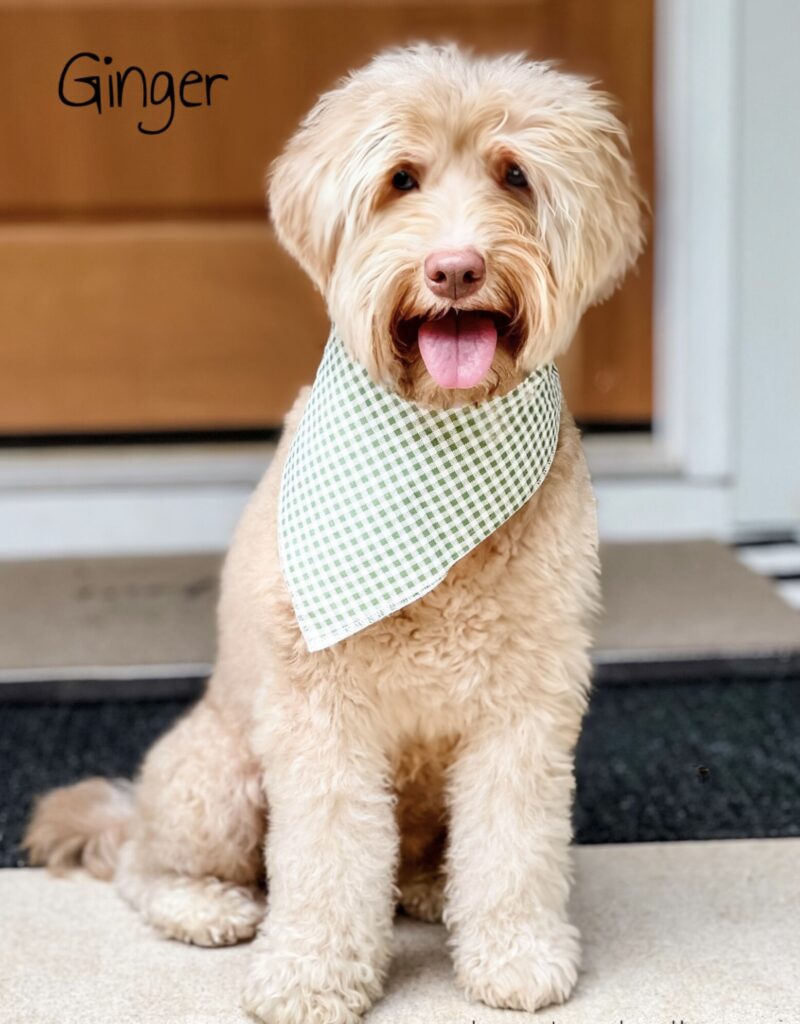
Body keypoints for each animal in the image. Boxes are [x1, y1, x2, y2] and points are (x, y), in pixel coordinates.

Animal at [24, 41, 643, 1024]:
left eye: (515, 175)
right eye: (401, 180)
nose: (456, 269)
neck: (439, 440)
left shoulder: (526, 705)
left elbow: (514, 845)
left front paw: (515, 954)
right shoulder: (321, 713)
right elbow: (324, 856)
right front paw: (312, 973)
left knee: (425, 858)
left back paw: (427, 888)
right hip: (219, 776)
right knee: (145, 867)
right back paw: (204, 905)